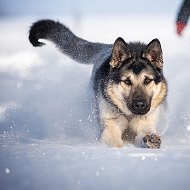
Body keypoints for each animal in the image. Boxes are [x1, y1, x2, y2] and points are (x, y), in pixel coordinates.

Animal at [28, 19, 168, 148]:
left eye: (147, 80)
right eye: (127, 81)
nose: (140, 105)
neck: (128, 115)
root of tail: (107, 47)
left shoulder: (145, 123)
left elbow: (146, 131)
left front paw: (151, 139)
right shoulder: (110, 127)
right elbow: (116, 143)